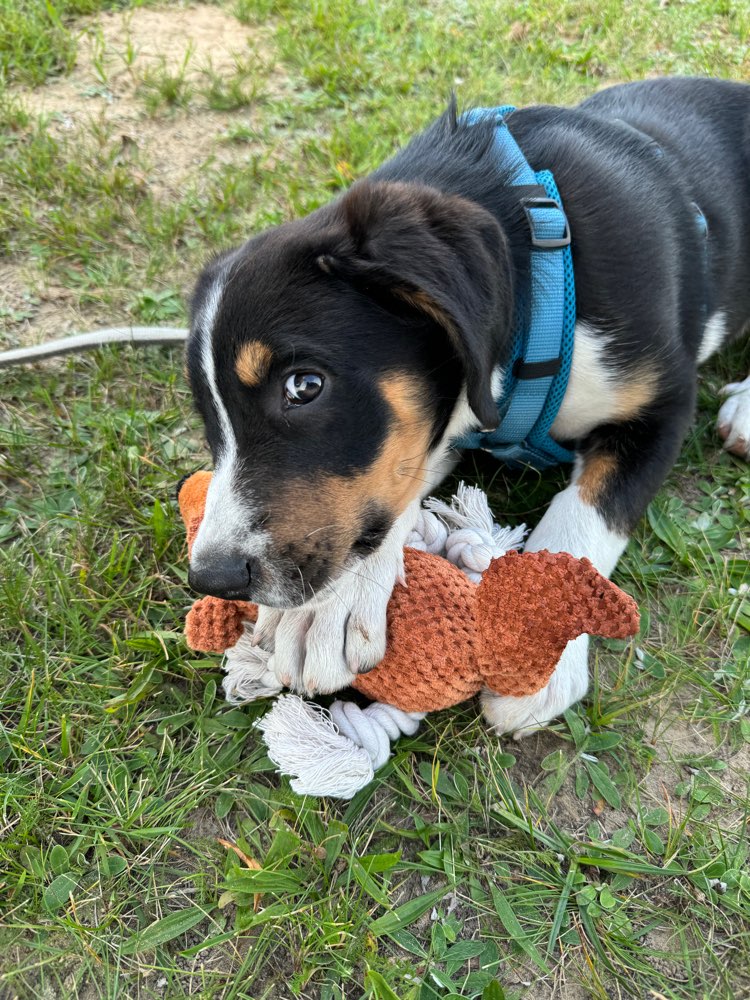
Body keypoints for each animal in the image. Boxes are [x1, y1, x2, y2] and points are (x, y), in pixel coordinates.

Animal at [187, 78, 750, 736]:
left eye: (304, 386)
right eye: (207, 415)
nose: (214, 578)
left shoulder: (664, 404)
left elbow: (583, 514)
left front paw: (547, 643)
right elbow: (399, 477)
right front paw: (329, 608)